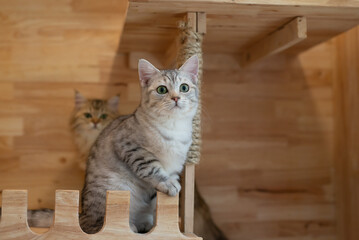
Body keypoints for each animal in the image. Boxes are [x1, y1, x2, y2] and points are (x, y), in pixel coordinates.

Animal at [80, 55, 201, 233]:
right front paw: (167, 183)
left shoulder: (175, 165)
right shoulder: (130, 146)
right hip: (111, 190)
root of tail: (83, 214)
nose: (176, 98)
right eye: (162, 90)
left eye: (184, 87)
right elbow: (152, 167)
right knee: (94, 225)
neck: (174, 127)